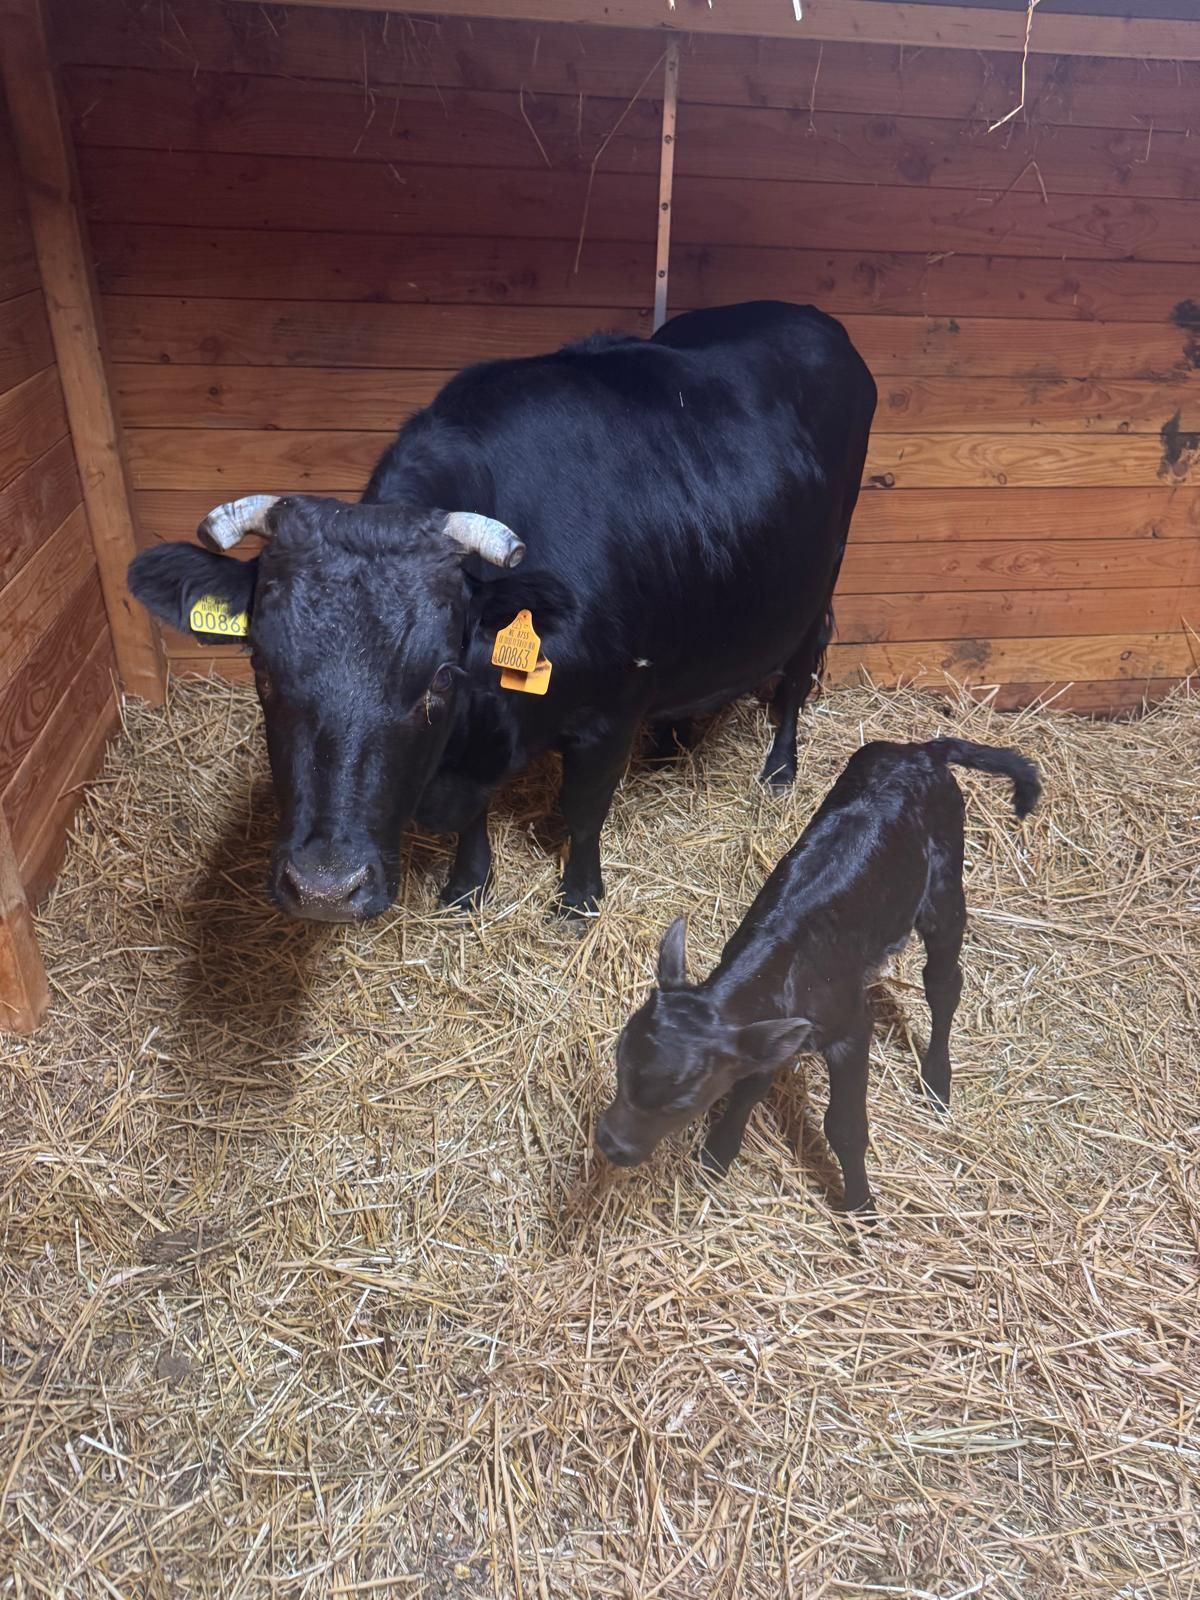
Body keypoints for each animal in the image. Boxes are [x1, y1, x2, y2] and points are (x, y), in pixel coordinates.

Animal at [127, 301, 876, 923]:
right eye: (262, 669)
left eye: (438, 677)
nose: (324, 889)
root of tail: (810, 318)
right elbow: (473, 820)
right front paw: (467, 885)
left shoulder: (610, 713)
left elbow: (583, 811)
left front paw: (578, 899)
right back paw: (671, 742)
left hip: (825, 574)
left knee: (799, 669)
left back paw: (780, 767)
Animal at [595, 738, 1041, 1215]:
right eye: (620, 1062)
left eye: (683, 1101)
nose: (611, 1143)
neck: (786, 967)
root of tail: (922, 750)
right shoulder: (768, 1032)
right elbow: (750, 1085)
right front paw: (717, 1154)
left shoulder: (851, 1028)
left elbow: (844, 1125)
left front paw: (861, 1206)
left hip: (944, 882)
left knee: (943, 982)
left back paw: (937, 1080)